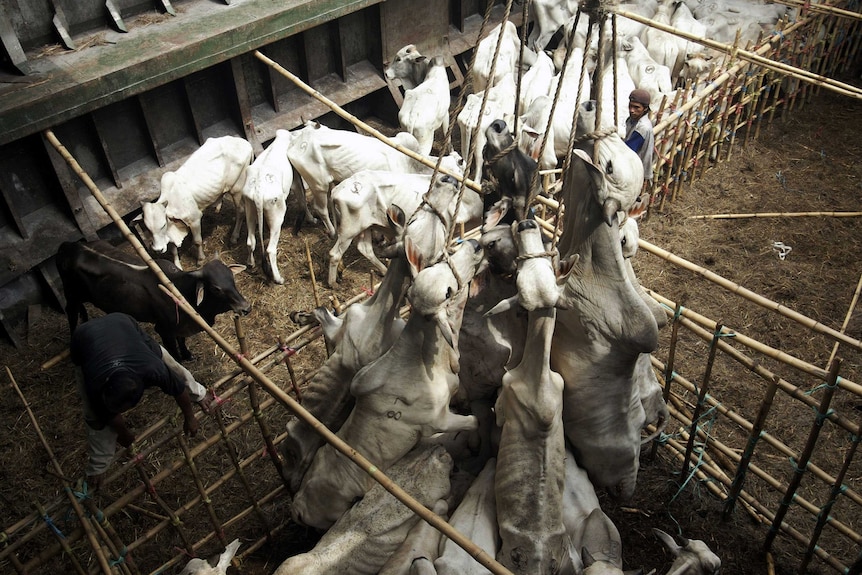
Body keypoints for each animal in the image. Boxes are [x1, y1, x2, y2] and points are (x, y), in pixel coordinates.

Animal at [56, 238, 251, 360]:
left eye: (232, 279)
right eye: (216, 289)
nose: (246, 307)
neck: (180, 291)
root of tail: (69, 245)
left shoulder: (179, 328)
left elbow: (182, 341)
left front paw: (187, 354)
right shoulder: (163, 330)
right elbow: (174, 353)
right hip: (71, 296)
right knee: (71, 314)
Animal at [140, 136, 251, 268]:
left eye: (162, 225)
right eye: (148, 229)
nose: (158, 249)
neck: (172, 199)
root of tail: (244, 142)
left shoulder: (195, 219)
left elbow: (197, 241)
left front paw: (201, 259)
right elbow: (173, 249)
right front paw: (177, 265)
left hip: (236, 189)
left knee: (241, 211)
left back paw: (234, 237)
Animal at [294, 240, 486, 532]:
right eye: (447, 292)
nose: (475, 244)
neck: (424, 361)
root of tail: (299, 506)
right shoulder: (439, 420)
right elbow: (474, 421)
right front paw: (475, 444)